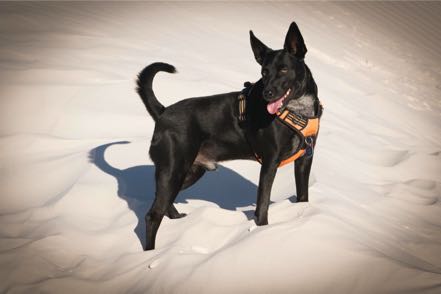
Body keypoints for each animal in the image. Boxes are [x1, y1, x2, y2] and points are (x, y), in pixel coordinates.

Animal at [136, 22, 322, 250]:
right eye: (264, 71)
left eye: (284, 69)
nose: (267, 93)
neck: (297, 110)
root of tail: (163, 112)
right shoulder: (270, 163)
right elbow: (262, 205)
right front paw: (263, 231)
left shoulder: (305, 159)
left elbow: (303, 195)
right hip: (173, 170)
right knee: (152, 215)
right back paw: (150, 252)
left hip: (189, 172)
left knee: (165, 203)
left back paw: (178, 220)